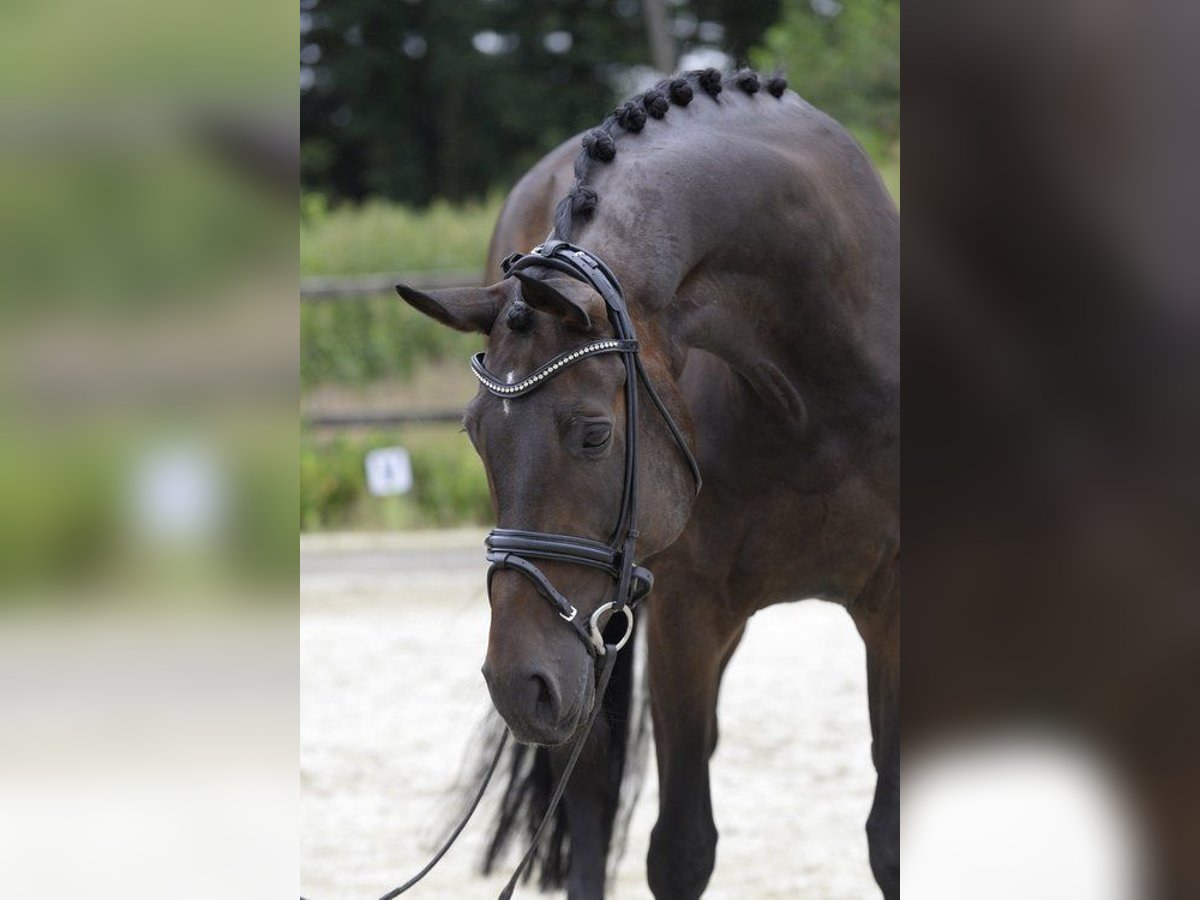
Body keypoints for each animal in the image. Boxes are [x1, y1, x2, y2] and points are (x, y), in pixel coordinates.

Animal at [396, 66, 902, 897]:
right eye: (475, 436)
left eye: (594, 433)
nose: (516, 684)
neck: (817, 392)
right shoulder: (684, 613)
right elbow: (681, 847)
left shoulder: (892, 610)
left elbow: (888, 838)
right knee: (589, 787)